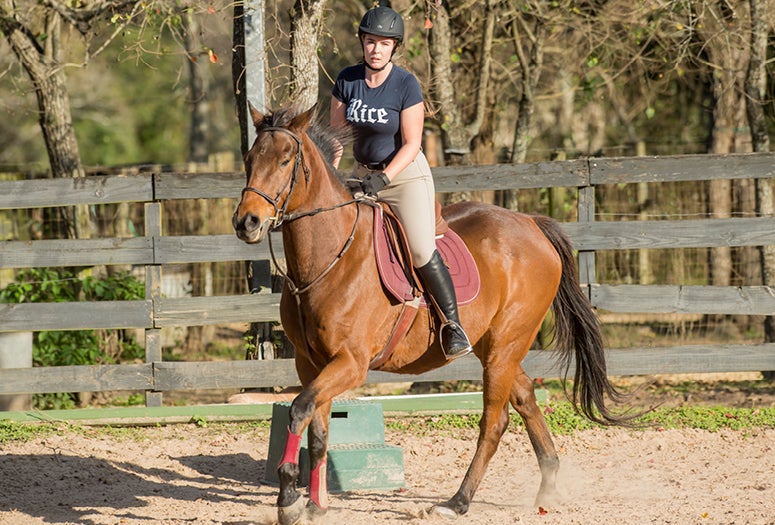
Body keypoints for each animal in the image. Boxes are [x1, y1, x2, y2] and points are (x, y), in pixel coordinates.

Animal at [233, 104, 632, 520]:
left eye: (285, 160)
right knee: (525, 398)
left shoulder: (350, 363)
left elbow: (299, 409)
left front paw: (289, 499)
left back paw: (458, 501)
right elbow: (318, 431)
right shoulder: (311, 364)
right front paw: (314, 505)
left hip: (506, 345)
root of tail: (530, 223)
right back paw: (548, 488)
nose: (247, 222)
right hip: (496, 347)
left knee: (494, 422)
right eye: (249, 159)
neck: (329, 258)